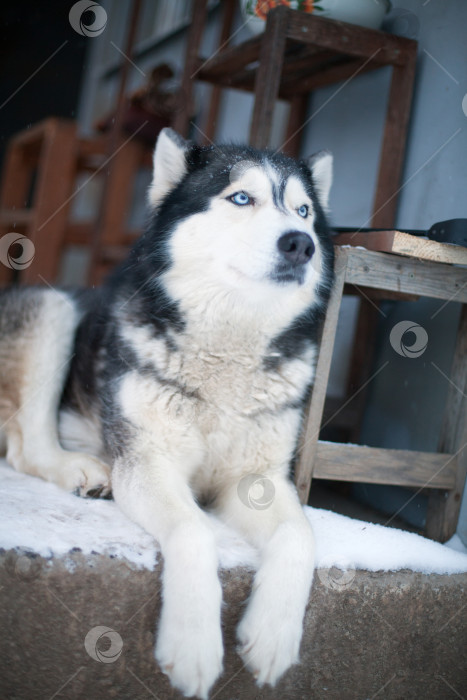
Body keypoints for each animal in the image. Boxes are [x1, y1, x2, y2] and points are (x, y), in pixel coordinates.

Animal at [0, 130, 336, 696]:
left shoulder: (258, 479)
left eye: (304, 211)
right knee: (26, 445)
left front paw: (273, 636)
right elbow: (194, 529)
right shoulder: (148, 462)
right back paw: (80, 470)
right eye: (241, 198)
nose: (300, 243)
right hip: (56, 307)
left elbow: (299, 537)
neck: (227, 350)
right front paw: (194, 644)